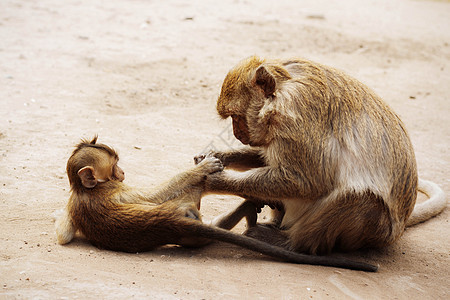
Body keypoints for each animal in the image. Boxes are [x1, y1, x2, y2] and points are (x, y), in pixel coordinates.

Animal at [54, 138, 378, 272]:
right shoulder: (120, 192)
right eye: (114, 167)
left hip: (189, 232)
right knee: (189, 198)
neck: (87, 190)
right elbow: (155, 195)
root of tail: (173, 223)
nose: (122, 172)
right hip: (187, 210)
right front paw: (204, 169)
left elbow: (63, 236)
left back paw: (248, 210)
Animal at [197, 55, 446, 253]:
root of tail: (399, 229)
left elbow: (306, 180)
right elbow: (270, 159)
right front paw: (220, 155)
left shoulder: (295, 115)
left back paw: (292, 244)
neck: (282, 90)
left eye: (236, 117)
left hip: (374, 232)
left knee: (362, 199)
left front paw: (214, 180)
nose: (237, 133)